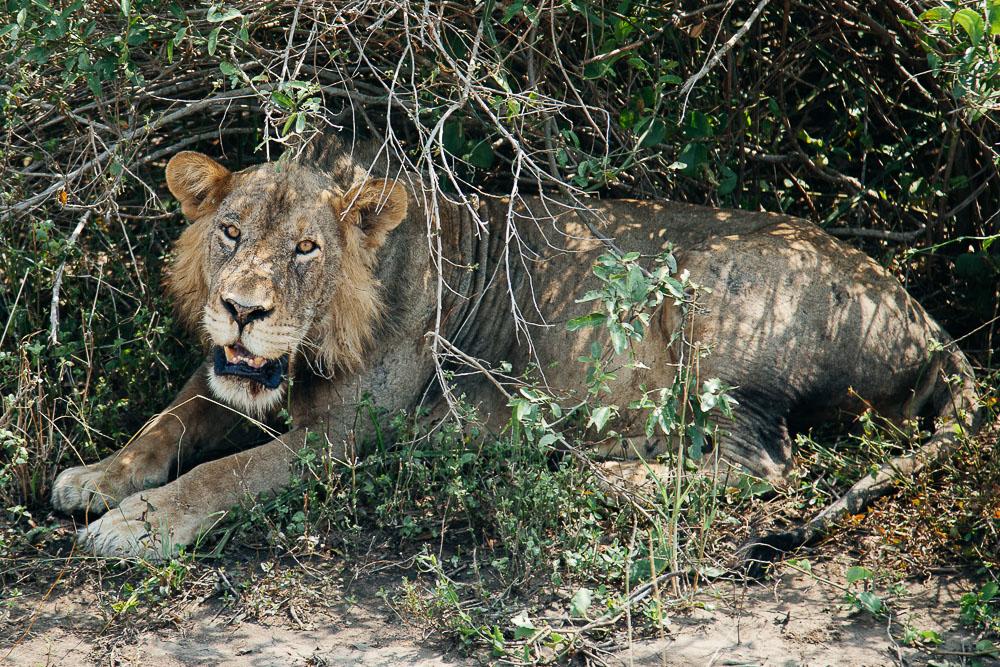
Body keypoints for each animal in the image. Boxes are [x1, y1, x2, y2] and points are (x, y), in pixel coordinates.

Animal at [50, 138, 980, 560]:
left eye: (307, 249)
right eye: (231, 233)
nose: (240, 310)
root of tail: (926, 323)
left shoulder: (348, 437)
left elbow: (227, 473)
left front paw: (137, 524)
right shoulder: (230, 380)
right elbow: (166, 424)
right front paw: (96, 478)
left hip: (713, 302)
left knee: (761, 465)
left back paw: (605, 474)